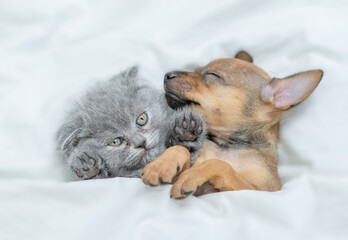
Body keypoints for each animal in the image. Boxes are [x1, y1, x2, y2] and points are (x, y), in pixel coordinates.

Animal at [142, 51, 324, 200]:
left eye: (213, 75)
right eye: (197, 69)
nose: (168, 74)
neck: (226, 146)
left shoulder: (256, 190)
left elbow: (219, 164)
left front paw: (190, 176)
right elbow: (180, 149)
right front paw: (160, 166)